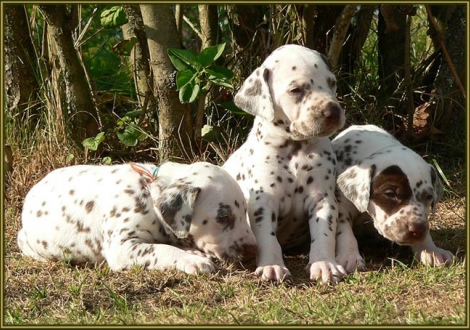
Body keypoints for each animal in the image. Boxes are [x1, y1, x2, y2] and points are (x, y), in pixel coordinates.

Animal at [17, 161, 258, 274]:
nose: (253, 250)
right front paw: (193, 260)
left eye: (245, 212)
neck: (149, 194)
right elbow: (160, 249)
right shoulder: (121, 247)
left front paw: (193, 253)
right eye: (223, 217)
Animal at [222, 44, 346, 284]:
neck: (294, 148)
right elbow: (267, 237)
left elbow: (324, 232)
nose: (333, 112)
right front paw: (271, 266)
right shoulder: (262, 202)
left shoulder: (322, 199)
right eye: (296, 90)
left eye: (332, 83)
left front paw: (324, 264)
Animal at [330, 125, 456, 272]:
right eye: (390, 194)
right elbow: (344, 231)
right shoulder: (342, 206)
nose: (417, 229)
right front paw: (349, 256)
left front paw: (431, 251)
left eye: (429, 196)